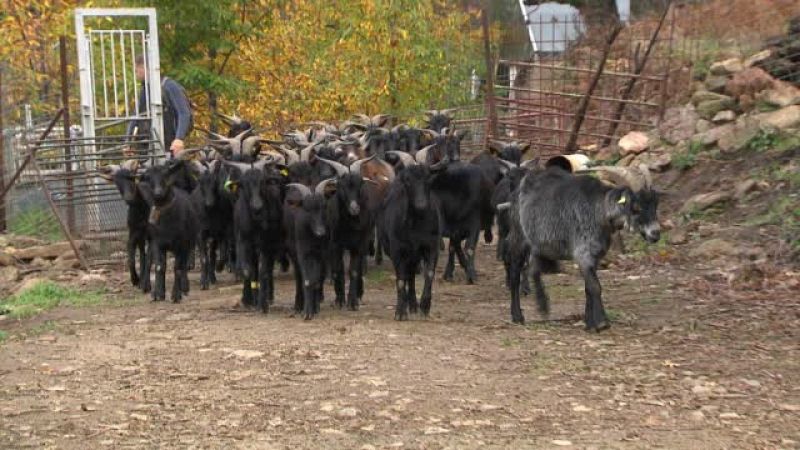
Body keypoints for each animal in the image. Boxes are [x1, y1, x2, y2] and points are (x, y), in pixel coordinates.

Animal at [378, 154, 440, 320]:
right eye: (407, 181)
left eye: (428, 179)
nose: (421, 205)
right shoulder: (397, 250)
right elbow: (400, 280)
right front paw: (400, 312)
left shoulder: (431, 246)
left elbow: (429, 274)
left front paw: (425, 306)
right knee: (406, 276)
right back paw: (407, 304)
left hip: (414, 256)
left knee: (411, 276)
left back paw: (413, 305)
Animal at [500, 164, 664, 330]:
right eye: (636, 208)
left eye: (655, 206)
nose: (655, 234)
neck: (599, 210)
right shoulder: (583, 253)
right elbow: (595, 286)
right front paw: (602, 322)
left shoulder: (595, 256)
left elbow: (587, 288)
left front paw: (589, 323)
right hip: (519, 236)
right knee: (515, 272)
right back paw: (517, 316)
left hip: (539, 244)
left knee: (534, 269)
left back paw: (543, 306)